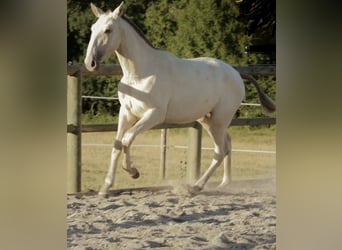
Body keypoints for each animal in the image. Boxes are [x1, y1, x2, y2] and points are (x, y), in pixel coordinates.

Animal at [84, 2, 276, 197]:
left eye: (108, 30)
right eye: (92, 28)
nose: (90, 63)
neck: (140, 74)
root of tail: (237, 73)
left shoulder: (154, 115)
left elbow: (127, 139)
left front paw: (133, 172)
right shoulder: (126, 113)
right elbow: (116, 145)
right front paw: (105, 188)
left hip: (219, 121)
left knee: (220, 151)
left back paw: (196, 187)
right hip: (208, 120)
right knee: (227, 144)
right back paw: (223, 183)